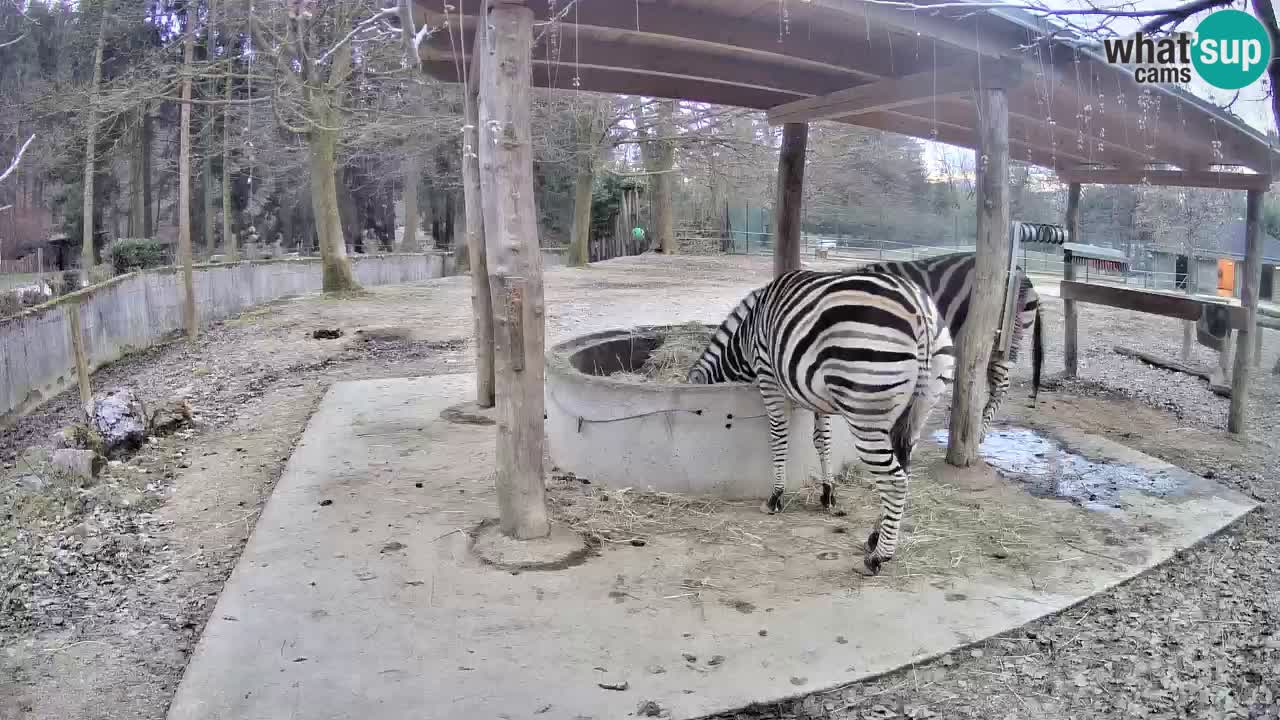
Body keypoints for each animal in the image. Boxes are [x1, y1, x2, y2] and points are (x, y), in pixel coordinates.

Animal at [686, 266, 957, 573]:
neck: (746, 335)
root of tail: (920, 310)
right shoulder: (819, 395)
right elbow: (822, 440)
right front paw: (827, 494)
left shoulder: (768, 376)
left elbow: (779, 436)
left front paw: (775, 497)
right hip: (921, 407)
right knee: (904, 472)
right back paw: (874, 537)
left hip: (865, 409)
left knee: (895, 480)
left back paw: (879, 556)